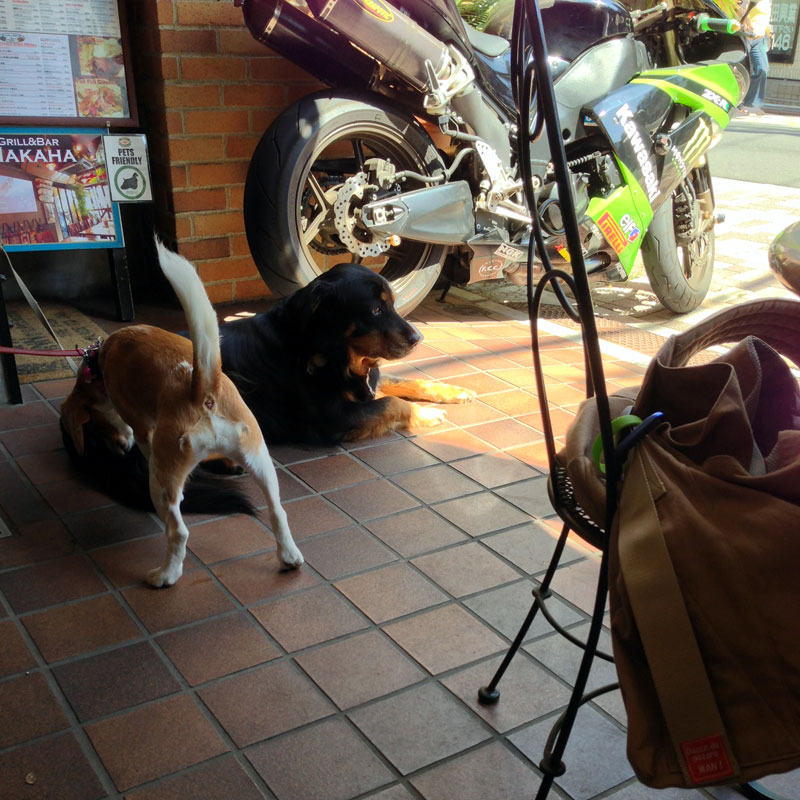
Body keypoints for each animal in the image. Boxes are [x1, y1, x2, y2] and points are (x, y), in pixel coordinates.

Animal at [61, 239, 304, 588]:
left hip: (161, 484)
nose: (120, 448)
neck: (100, 359)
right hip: (261, 460)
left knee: (178, 532)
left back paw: (165, 575)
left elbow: (139, 434)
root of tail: (203, 389)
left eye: (95, 425)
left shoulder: (138, 424)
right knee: (278, 511)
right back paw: (289, 556)